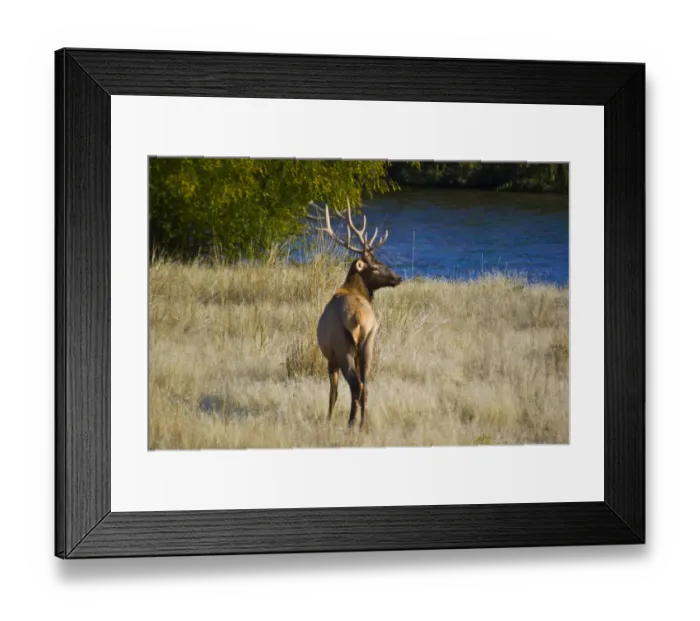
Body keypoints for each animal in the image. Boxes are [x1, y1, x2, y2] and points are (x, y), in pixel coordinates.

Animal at [311, 199, 403, 430]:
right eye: (377, 265)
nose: (398, 278)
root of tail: (359, 318)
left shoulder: (330, 358)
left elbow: (332, 393)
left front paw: (328, 419)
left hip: (343, 348)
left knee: (355, 384)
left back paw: (351, 423)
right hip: (369, 342)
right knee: (365, 385)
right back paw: (362, 423)